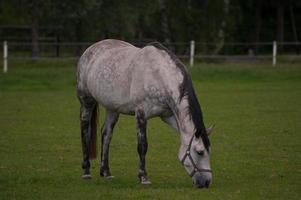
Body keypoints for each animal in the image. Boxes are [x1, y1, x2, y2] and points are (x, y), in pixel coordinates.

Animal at [77, 39, 213, 189]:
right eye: (200, 152)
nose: (206, 182)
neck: (159, 75)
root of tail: (90, 49)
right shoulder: (141, 115)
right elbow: (142, 146)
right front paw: (143, 177)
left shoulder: (169, 116)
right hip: (86, 101)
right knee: (85, 131)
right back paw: (86, 171)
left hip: (112, 108)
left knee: (106, 134)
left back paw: (106, 172)